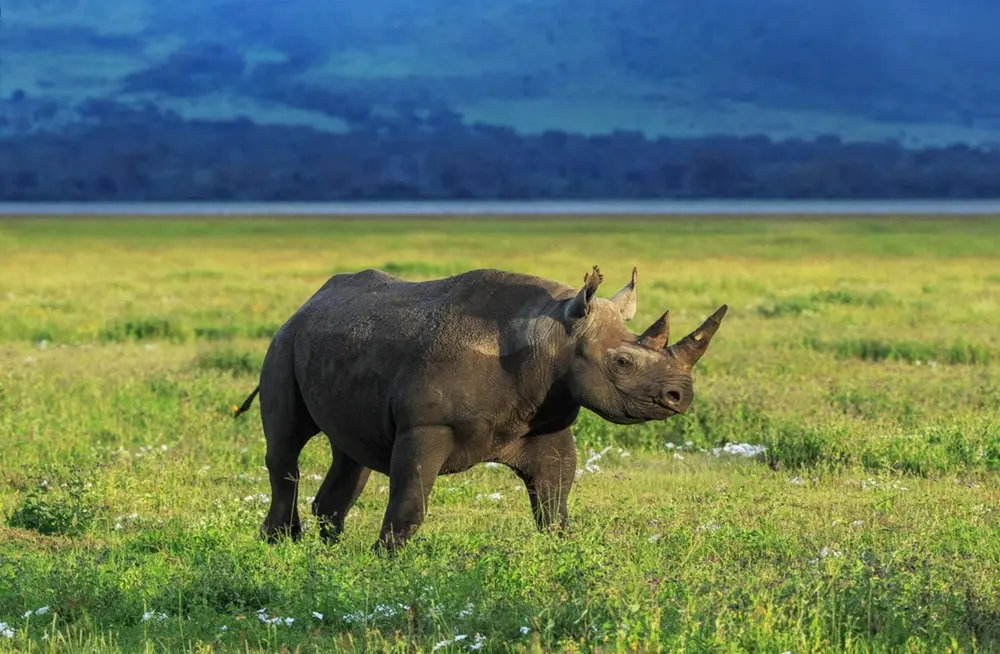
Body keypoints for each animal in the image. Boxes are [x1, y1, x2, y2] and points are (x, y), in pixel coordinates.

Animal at [233, 265, 727, 552]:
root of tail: (306, 304)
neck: (555, 335)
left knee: (352, 454)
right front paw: (385, 561)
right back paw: (279, 545)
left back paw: (328, 551)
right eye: (622, 362)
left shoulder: (544, 425)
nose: (681, 395)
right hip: (284, 343)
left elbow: (554, 499)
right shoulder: (426, 425)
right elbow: (410, 497)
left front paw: (563, 549)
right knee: (287, 447)